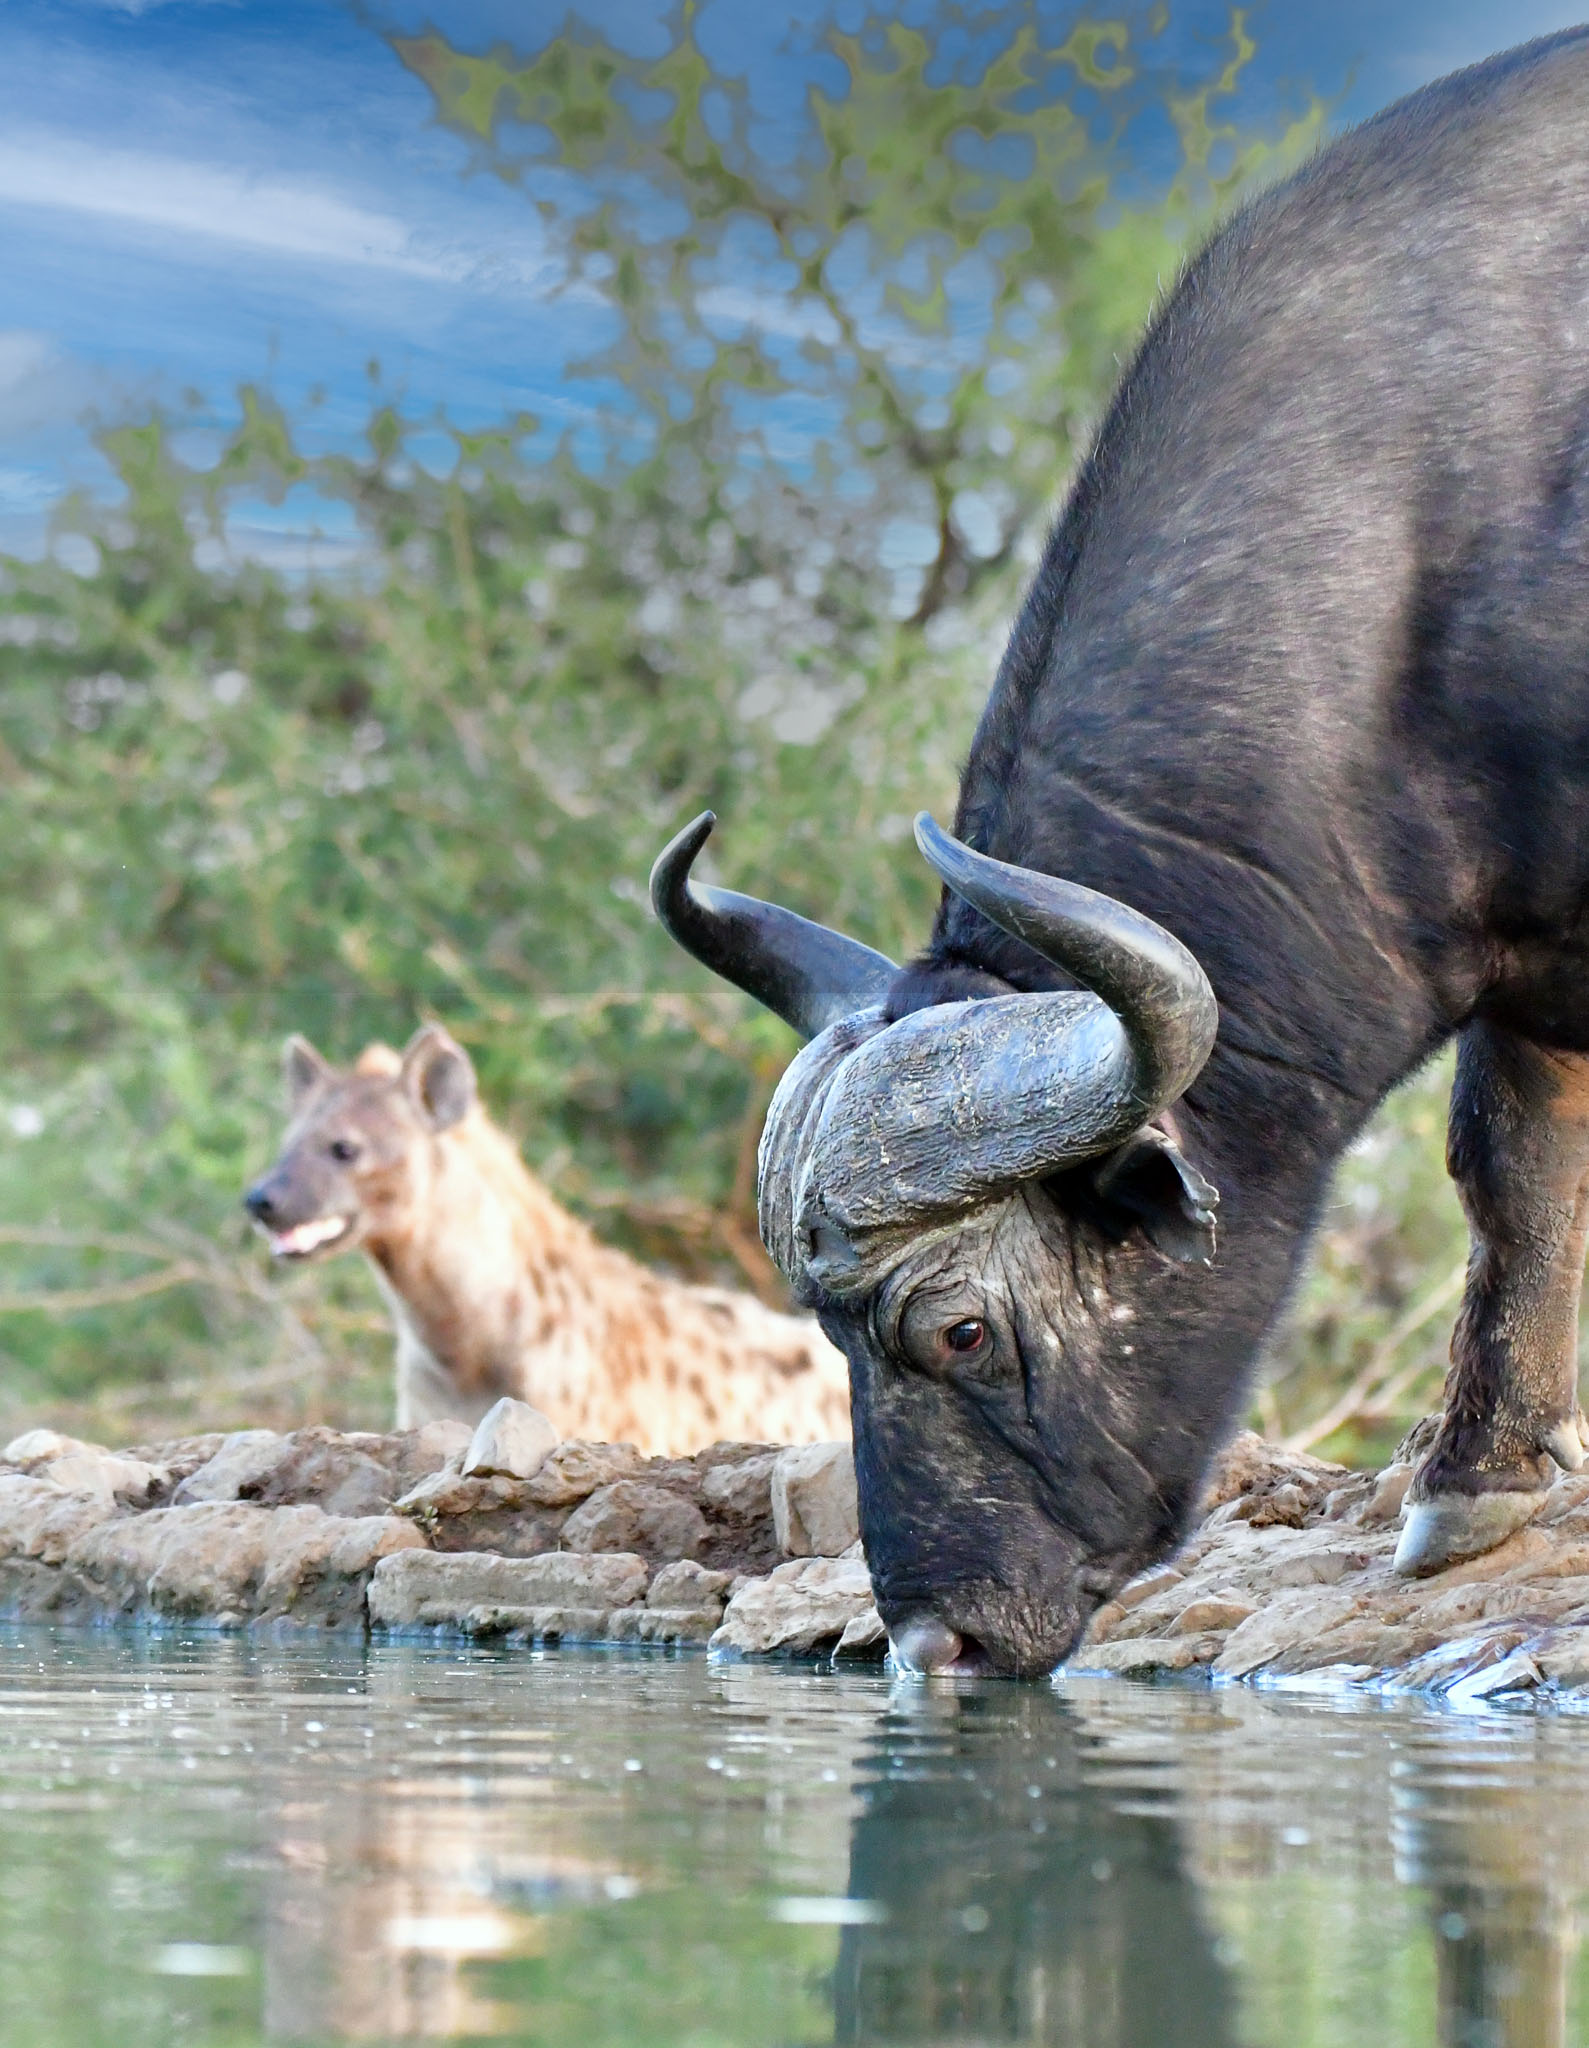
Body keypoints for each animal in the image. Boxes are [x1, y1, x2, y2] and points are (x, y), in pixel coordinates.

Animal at [652, 29, 1589, 1674]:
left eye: (959, 1329)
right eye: (823, 1334)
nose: (933, 1643)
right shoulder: (1526, 953)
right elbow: (1513, 1171)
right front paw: (1478, 1477)